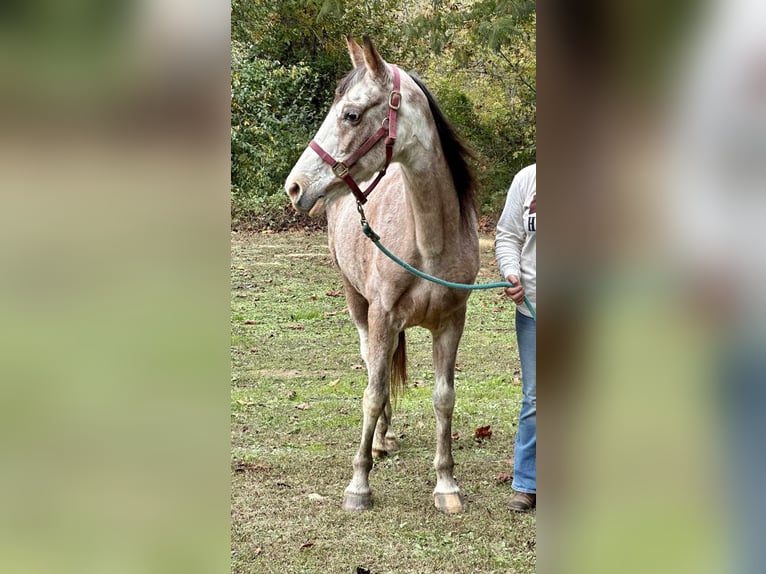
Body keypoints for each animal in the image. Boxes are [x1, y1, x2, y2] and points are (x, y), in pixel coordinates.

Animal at [284, 33, 476, 516]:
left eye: (351, 114)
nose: (294, 187)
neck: (428, 241)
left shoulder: (451, 323)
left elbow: (444, 399)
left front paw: (446, 484)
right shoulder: (382, 315)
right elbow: (371, 393)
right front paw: (359, 484)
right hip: (358, 303)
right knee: (374, 365)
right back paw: (376, 444)